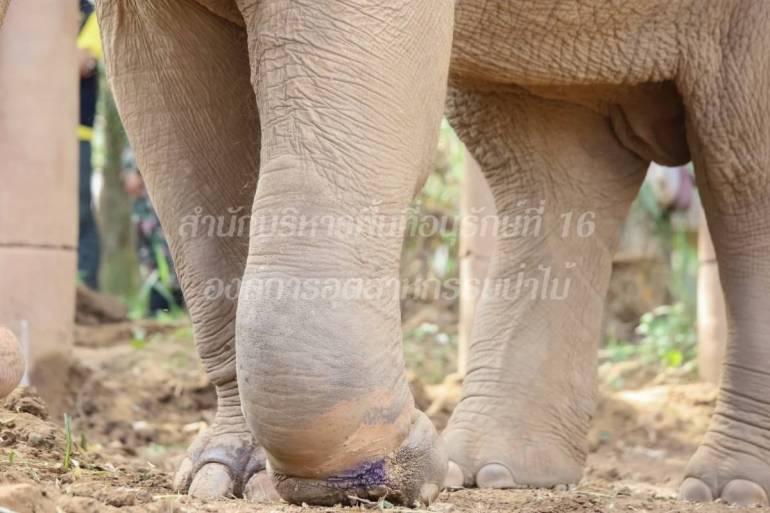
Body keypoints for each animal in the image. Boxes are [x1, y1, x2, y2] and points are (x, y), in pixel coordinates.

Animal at [96, 0, 768, 506]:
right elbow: (182, 154)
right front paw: (225, 478)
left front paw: (393, 477)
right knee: (553, 156)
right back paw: (493, 473)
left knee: (741, 169)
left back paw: (727, 491)